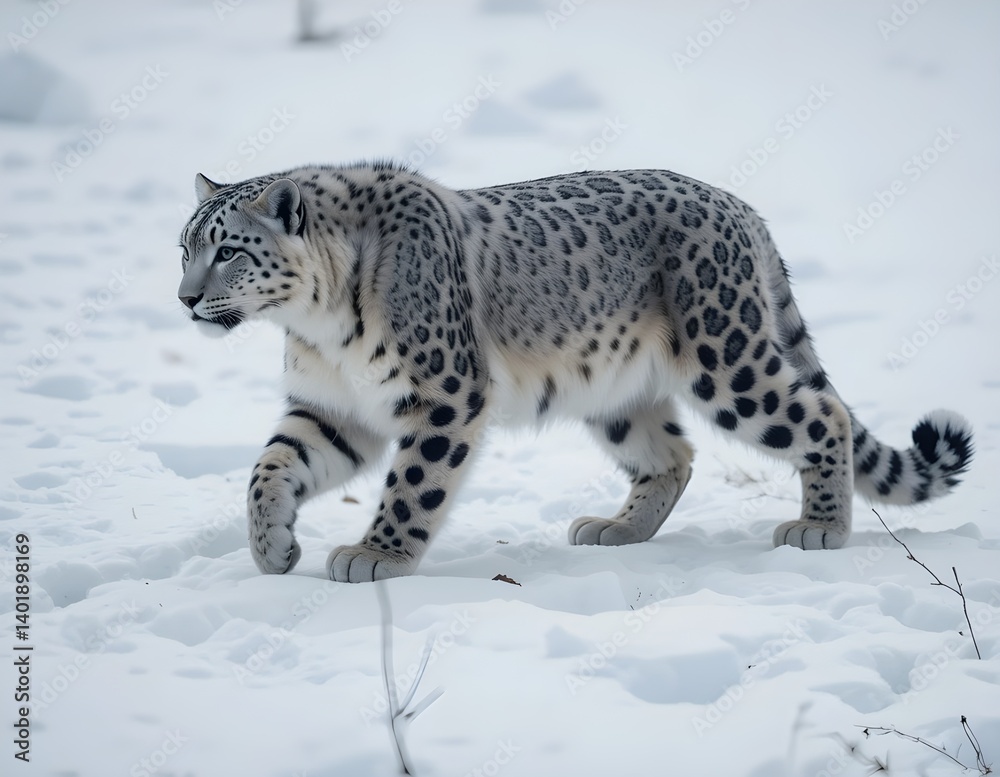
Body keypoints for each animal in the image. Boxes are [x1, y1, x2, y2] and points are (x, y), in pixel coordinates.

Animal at [177, 161, 973, 583]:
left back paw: (820, 528)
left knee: (820, 414)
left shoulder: (444, 395)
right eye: (184, 246)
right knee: (672, 454)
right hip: (615, 391)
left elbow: (413, 483)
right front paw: (271, 548)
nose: (184, 299)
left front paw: (376, 555)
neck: (317, 327)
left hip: (729, 361)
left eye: (229, 250)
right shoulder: (330, 408)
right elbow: (270, 468)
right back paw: (615, 530)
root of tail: (740, 206)